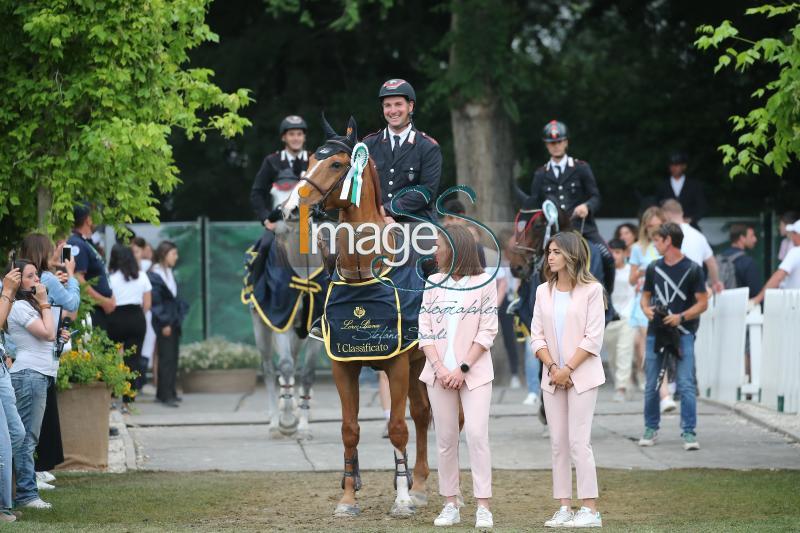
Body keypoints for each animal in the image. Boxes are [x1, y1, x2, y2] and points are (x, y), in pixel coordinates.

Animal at [282, 115, 432, 516]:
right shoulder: (343, 365)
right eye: (308, 161)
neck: (366, 272)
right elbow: (350, 429)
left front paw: (401, 499)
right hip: (417, 366)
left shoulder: (396, 364)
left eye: (336, 164)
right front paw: (348, 497)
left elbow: (397, 428)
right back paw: (421, 484)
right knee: (423, 414)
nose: (290, 209)